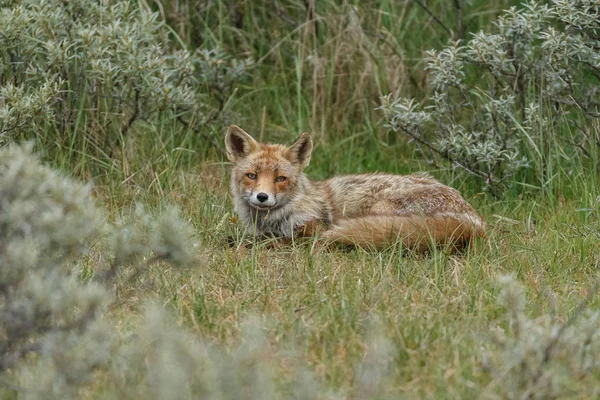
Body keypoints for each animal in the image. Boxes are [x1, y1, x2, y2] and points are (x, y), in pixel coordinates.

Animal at [227, 125, 486, 250]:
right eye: (252, 176)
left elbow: (283, 240)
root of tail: (474, 220)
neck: (271, 221)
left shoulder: (313, 229)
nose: (262, 196)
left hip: (381, 209)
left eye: (280, 178)